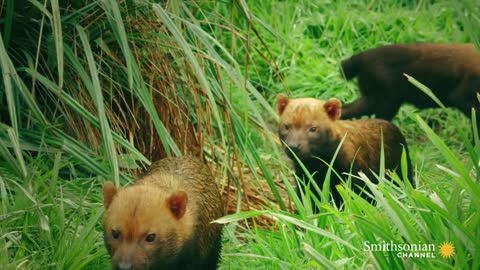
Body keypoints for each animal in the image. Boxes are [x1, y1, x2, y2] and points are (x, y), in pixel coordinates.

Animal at [276, 95, 414, 209]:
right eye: (286, 126)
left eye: (313, 128)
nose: (293, 146)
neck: (321, 166)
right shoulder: (305, 182)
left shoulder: (355, 183)